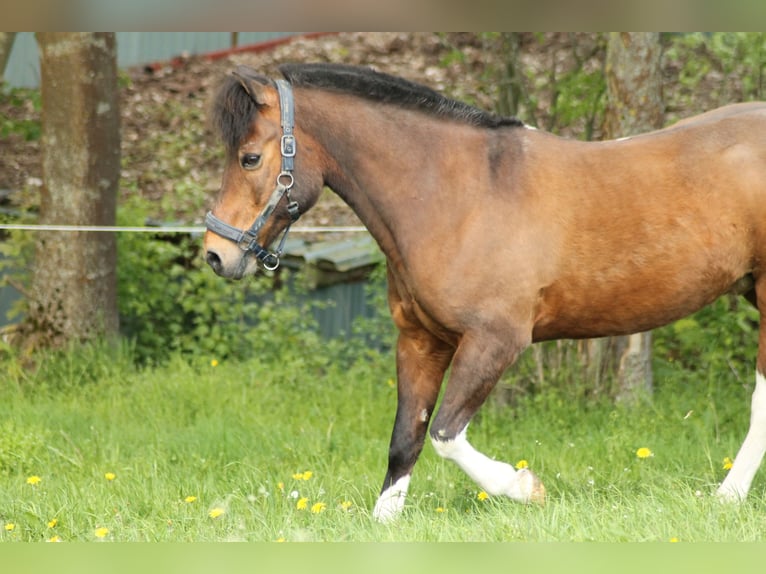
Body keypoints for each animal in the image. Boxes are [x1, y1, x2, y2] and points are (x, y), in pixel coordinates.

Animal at [204, 62, 766, 520]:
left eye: (249, 158)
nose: (215, 254)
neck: (459, 195)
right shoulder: (420, 341)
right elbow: (405, 439)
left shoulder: (494, 341)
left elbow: (446, 434)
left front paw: (524, 486)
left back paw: (728, 497)